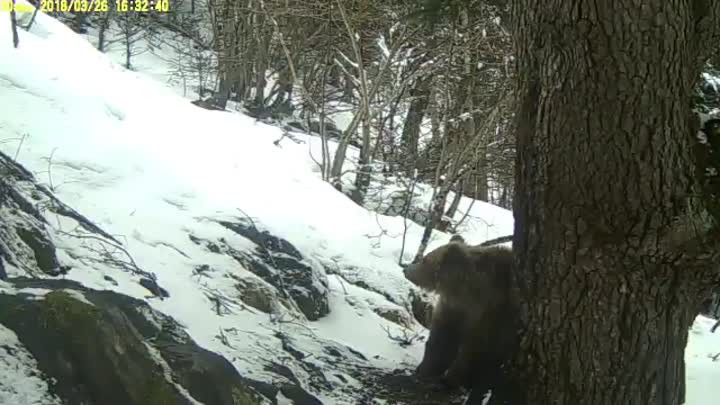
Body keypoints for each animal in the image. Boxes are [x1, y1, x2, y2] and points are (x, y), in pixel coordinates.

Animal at [402, 232, 516, 392]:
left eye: (425, 259)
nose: (406, 269)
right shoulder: (453, 308)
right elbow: (443, 337)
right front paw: (425, 370)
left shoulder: (490, 312)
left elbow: (474, 348)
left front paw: (451, 379)